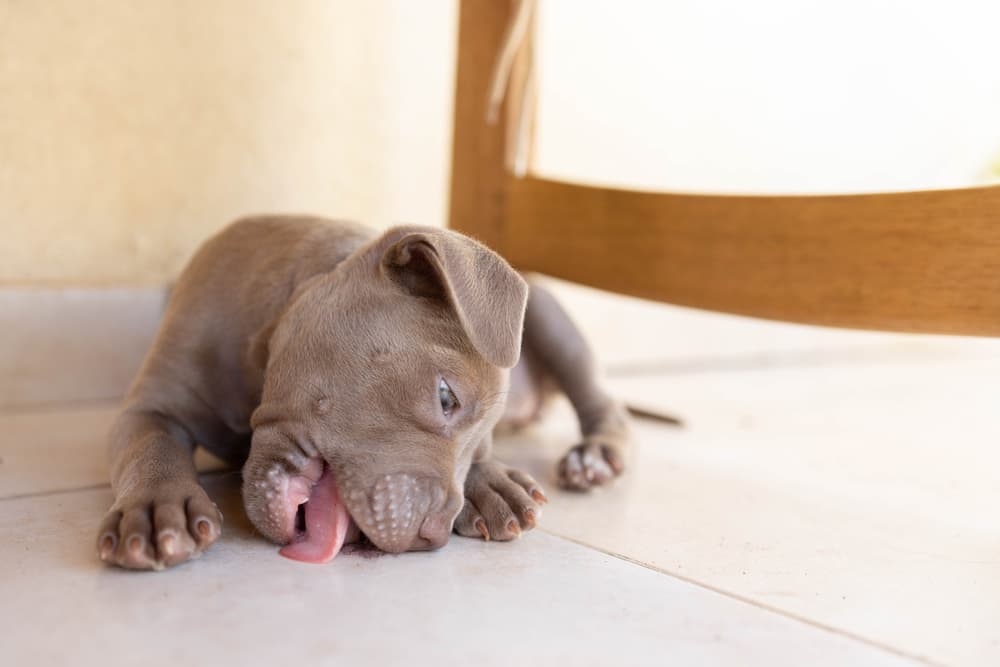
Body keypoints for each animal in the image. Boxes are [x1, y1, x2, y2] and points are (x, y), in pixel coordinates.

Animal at [97, 218, 628, 568]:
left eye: (483, 447)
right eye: (446, 397)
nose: (430, 537)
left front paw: (492, 484)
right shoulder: (152, 406)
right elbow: (151, 446)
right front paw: (156, 507)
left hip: (550, 318)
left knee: (606, 405)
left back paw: (594, 456)